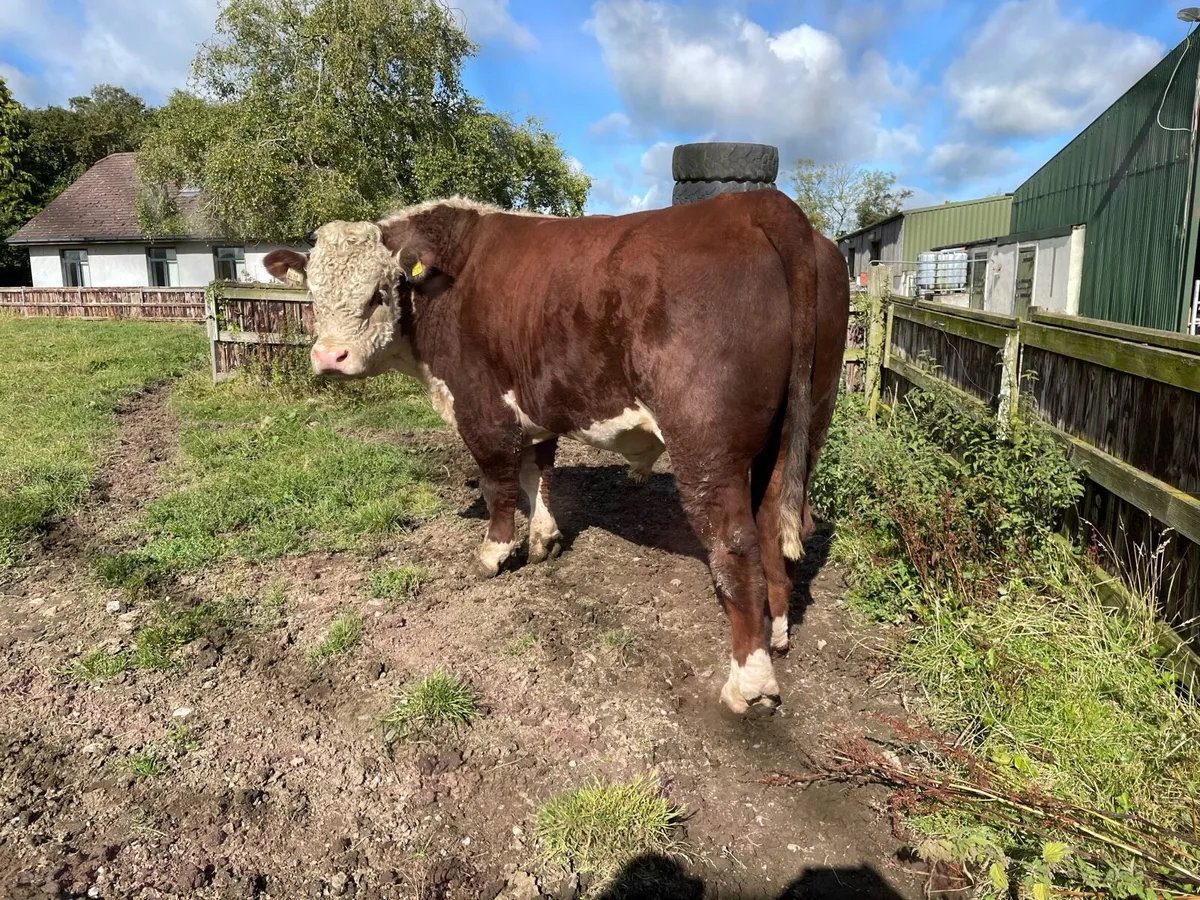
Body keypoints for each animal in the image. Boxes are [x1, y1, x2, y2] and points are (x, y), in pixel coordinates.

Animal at [263, 189, 839, 715]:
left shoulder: (482, 408)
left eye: (379, 294)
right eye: (313, 293)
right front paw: (543, 540)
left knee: (734, 542)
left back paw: (750, 684)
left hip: (706, 443)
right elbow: (536, 474)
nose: (329, 357)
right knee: (775, 520)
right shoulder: (533, 404)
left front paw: (494, 553)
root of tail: (753, 203)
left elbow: (497, 483)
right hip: (799, 431)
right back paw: (777, 629)